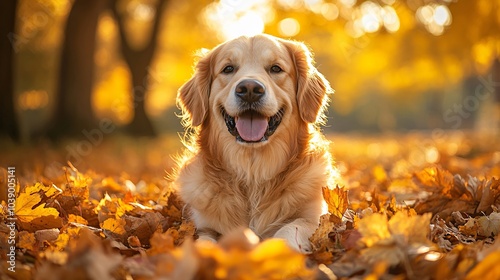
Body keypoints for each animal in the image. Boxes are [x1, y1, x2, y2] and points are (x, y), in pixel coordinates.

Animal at [176, 34, 336, 253]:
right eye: (228, 69)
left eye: (276, 68)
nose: (250, 89)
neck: (253, 172)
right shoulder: (203, 226)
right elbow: (204, 241)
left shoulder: (314, 216)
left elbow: (290, 228)